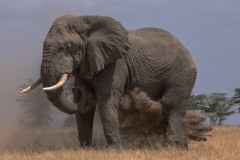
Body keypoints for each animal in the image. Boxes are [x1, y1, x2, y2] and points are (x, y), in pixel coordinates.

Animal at [21, 14, 197, 149]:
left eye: (68, 47)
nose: (74, 88)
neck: (85, 22)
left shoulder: (115, 64)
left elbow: (106, 99)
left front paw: (113, 149)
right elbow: (85, 105)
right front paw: (85, 149)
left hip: (182, 76)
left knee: (170, 105)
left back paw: (173, 145)